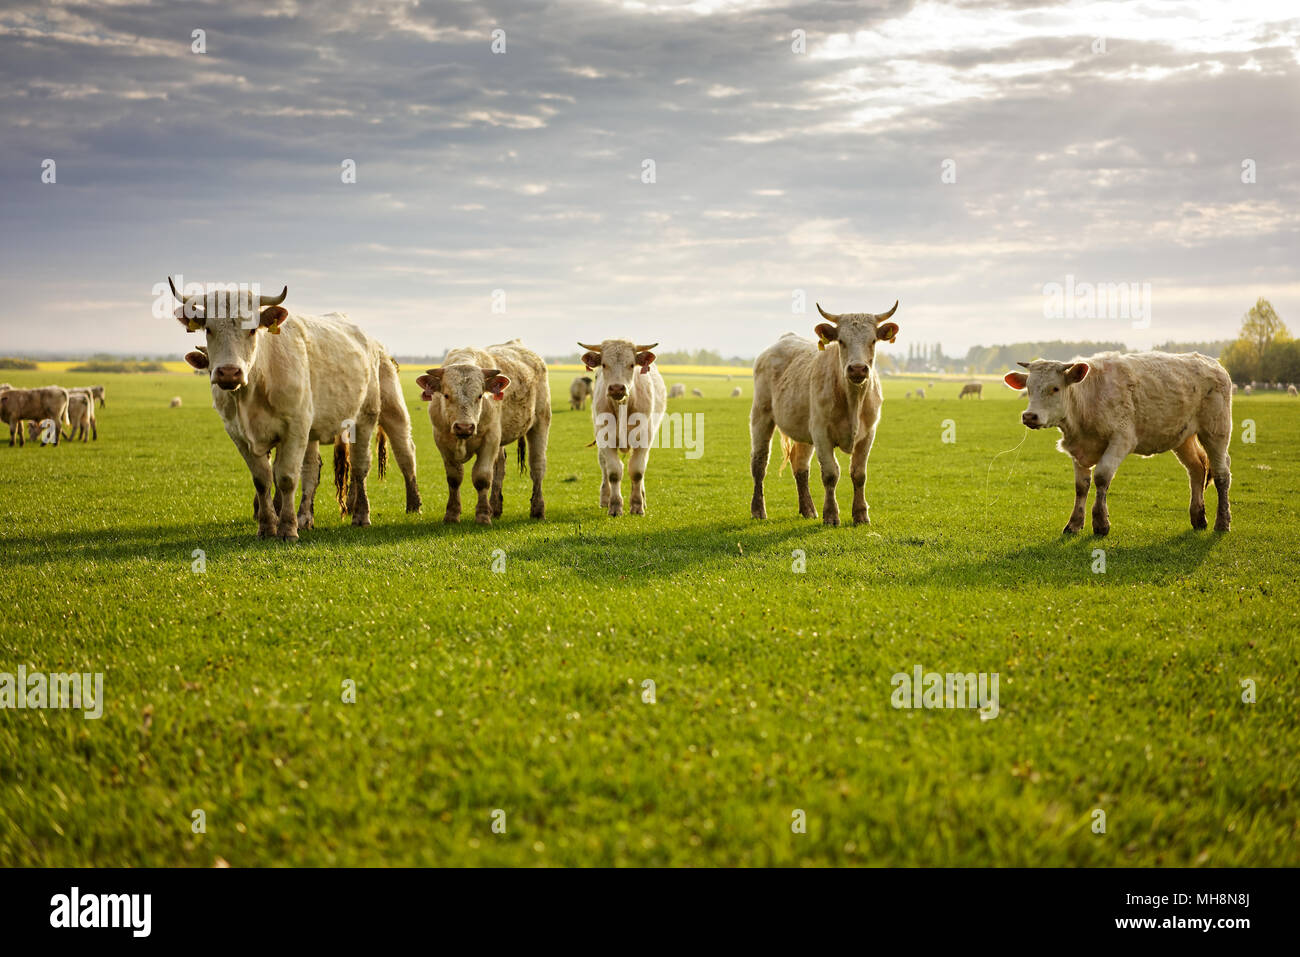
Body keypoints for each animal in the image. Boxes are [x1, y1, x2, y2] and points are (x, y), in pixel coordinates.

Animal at [170, 277, 421, 539]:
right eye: (209, 329)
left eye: (252, 330)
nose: (229, 372)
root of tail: (371, 342)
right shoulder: (239, 434)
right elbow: (263, 479)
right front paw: (267, 526)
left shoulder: (295, 428)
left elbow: (287, 477)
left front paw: (287, 528)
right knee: (314, 470)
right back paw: (308, 517)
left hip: (375, 415)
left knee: (384, 459)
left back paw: (381, 510)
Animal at [416, 339, 550, 525]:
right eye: (446, 395)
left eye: (480, 396)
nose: (464, 427)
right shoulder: (442, 441)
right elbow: (454, 478)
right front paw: (452, 514)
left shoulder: (490, 439)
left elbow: (482, 477)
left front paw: (483, 515)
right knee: (499, 468)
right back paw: (495, 508)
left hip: (540, 422)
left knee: (537, 466)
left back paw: (537, 510)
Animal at [579, 338, 666, 517]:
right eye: (604, 364)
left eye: (632, 364)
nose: (617, 388)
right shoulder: (605, 438)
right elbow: (613, 472)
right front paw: (615, 506)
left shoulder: (644, 439)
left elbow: (637, 471)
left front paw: (638, 505)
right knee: (604, 467)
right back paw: (605, 498)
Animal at [750, 300, 900, 526]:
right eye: (841, 341)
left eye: (873, 340)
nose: (857, 369)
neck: (853, 400)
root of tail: (785, 339)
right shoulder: (821, 432)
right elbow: (830, 474)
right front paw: (831, 515)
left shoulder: (868, 433)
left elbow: (859, 474)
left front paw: (861, 515)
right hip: (761, 415)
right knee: (759, 463)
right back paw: (758, 510)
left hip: (803, 429)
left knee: (801, 467)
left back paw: (808, 509)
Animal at [1004, 351, 1232, 535]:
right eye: (1028, 388)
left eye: (1055, 388)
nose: (1029, 416)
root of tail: (1214, 363)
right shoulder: (1078, 449)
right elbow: (1081, 486)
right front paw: (1074, 523)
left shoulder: (1121, 439)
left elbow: (1102, 477)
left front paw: (1100, 523)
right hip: (1182, 438)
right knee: (1197, 470)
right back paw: (1198, 518)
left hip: (1216, 431)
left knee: (1221, 474)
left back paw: (1222, 522)